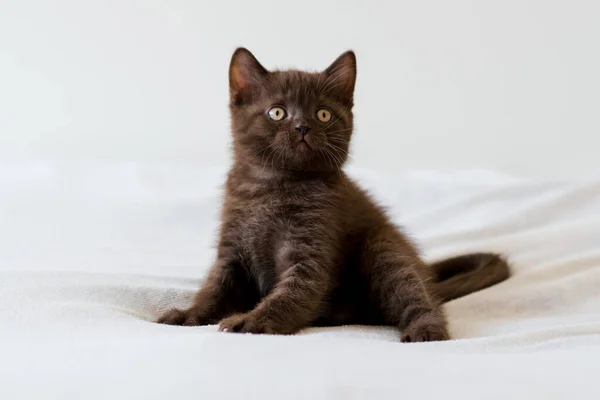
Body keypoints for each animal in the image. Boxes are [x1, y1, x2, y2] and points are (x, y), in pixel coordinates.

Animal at [157, 48, 508, 342]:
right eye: (277, 113)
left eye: (323, 114)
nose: (302, 127)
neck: (276, 186)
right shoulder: (231, 251)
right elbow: (214, 289)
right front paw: (188, 315)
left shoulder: (312, 247)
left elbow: (293, 293)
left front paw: (250, 321)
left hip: (383, 245)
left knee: (414, 291)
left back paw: (426, 329)